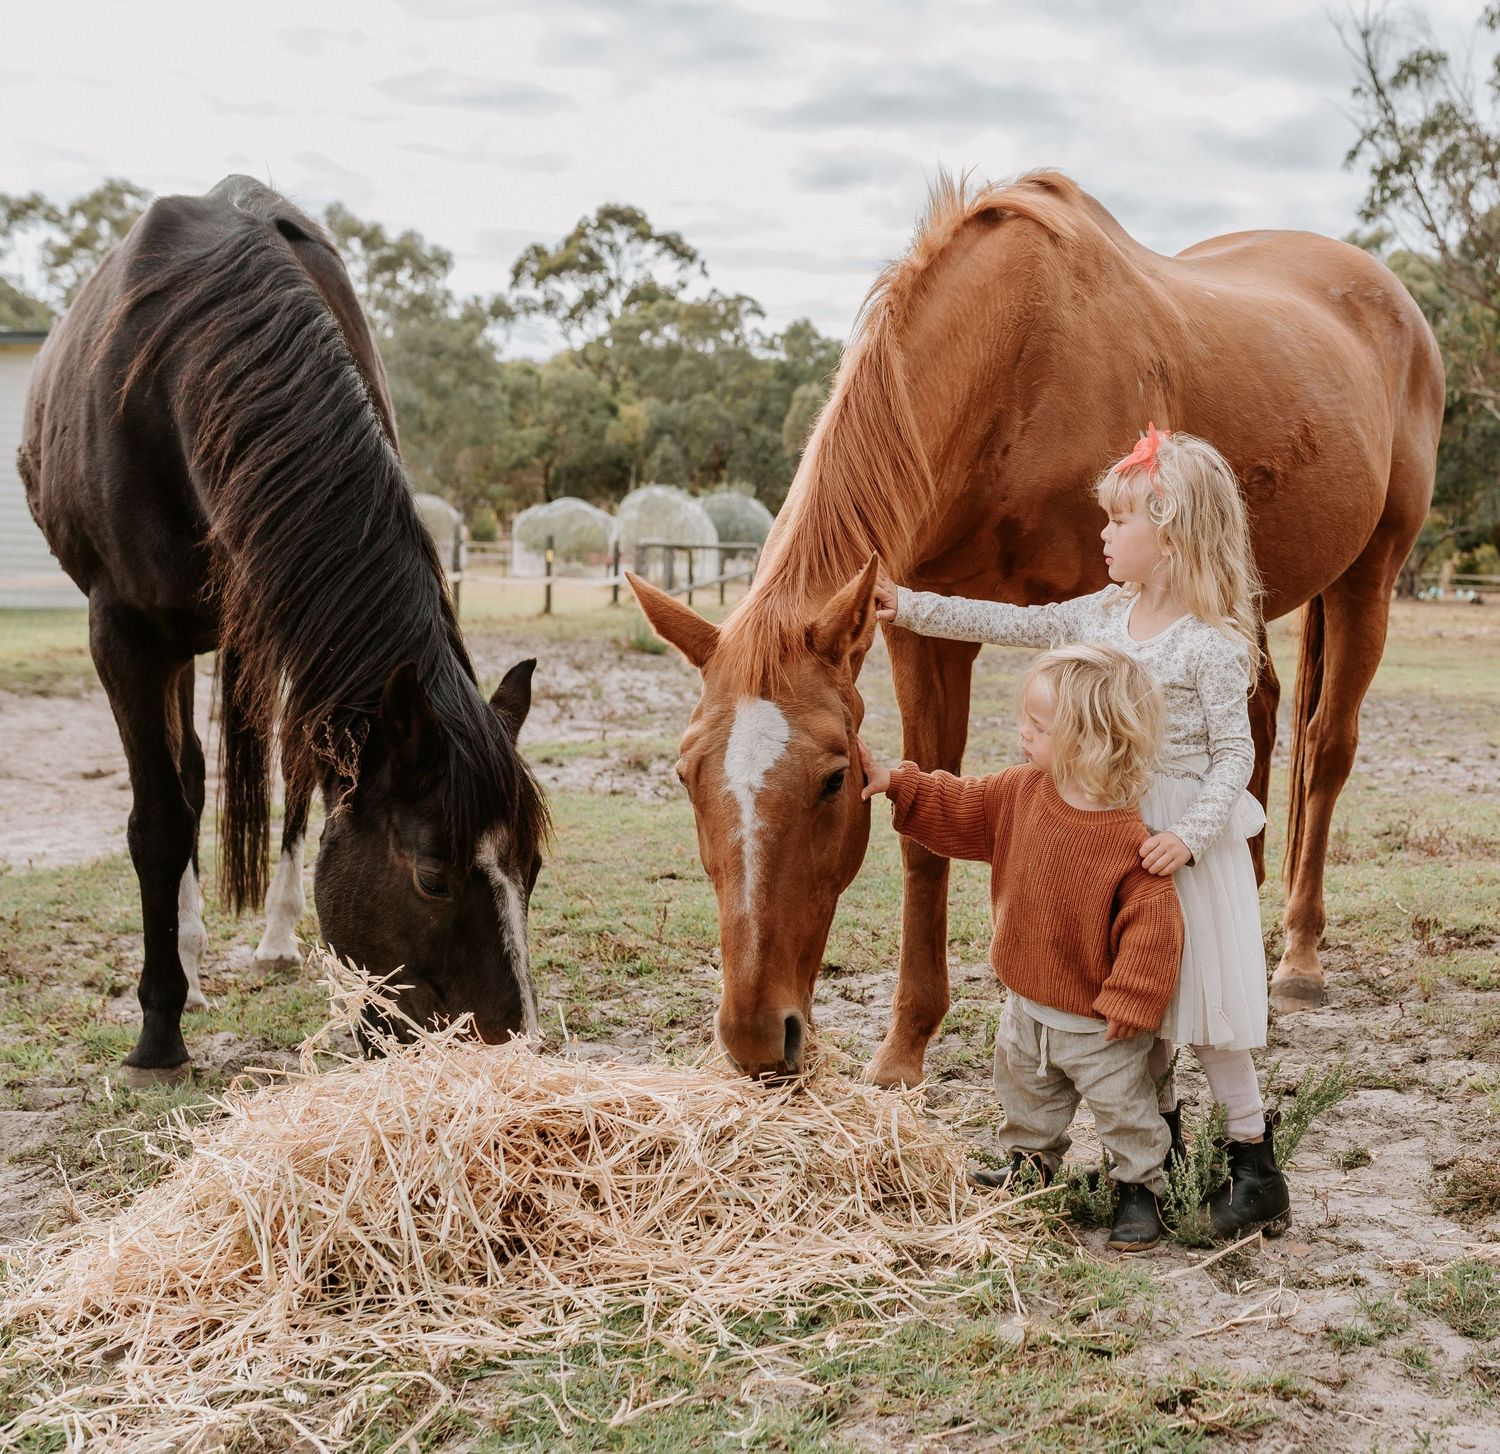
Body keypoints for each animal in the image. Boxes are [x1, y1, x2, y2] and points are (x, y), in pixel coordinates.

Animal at [18, 176, 549, 1082]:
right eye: (433, 876)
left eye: (534, 868)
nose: (506, 1054)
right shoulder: (123, 637)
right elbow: (158, 823)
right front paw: (158, 1032)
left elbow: (298, 792)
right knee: (189, 788)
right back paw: (189, 972)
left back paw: (268, 940)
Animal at [629, 171, 1443, 1083]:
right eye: (685, 775)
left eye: (833, 779)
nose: (755, 1041)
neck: (1018, 357)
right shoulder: (925, 632)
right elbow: (924, 833)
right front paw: (904, 1048)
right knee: (1262, 717)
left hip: (1370, 574)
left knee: (1326, 750)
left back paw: (1299, 959)